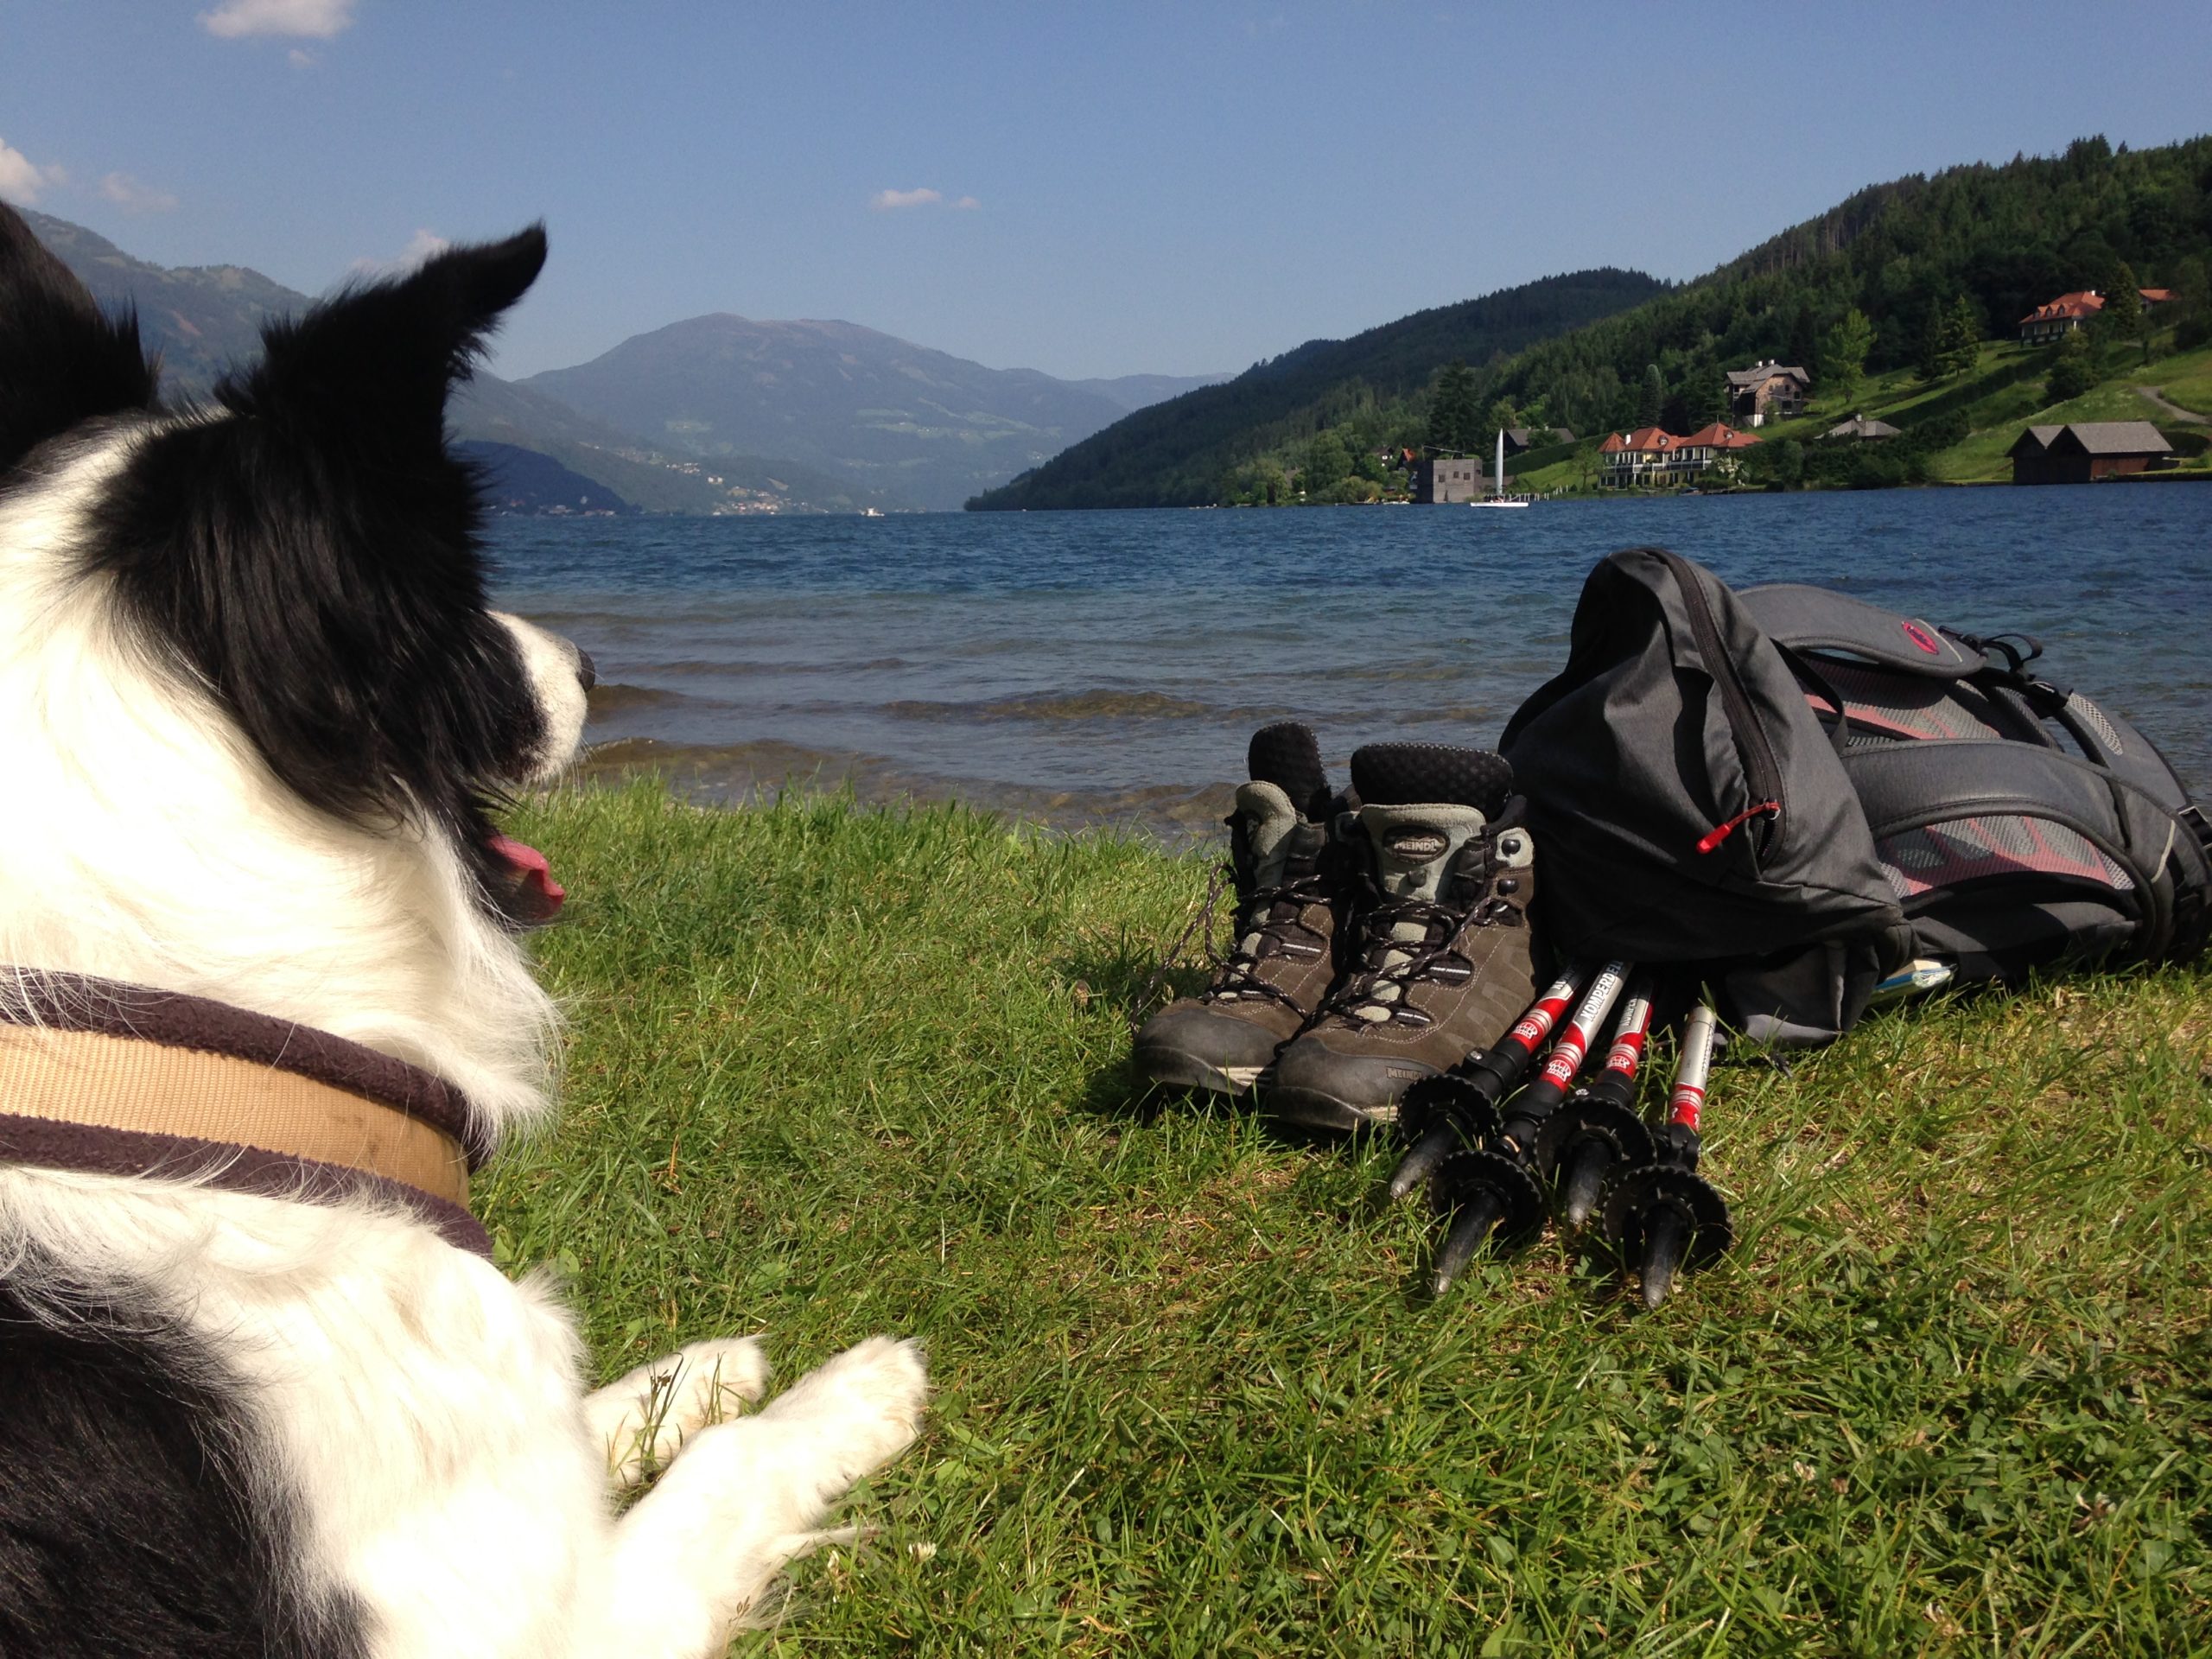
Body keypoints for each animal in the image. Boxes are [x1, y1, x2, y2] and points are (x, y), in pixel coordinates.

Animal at [0, 211, 925, 1659]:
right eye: (465, 592)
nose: (596, 666)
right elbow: (714, 1478)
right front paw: (856, 1391)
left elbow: (586, 1422)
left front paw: (700, 1369)